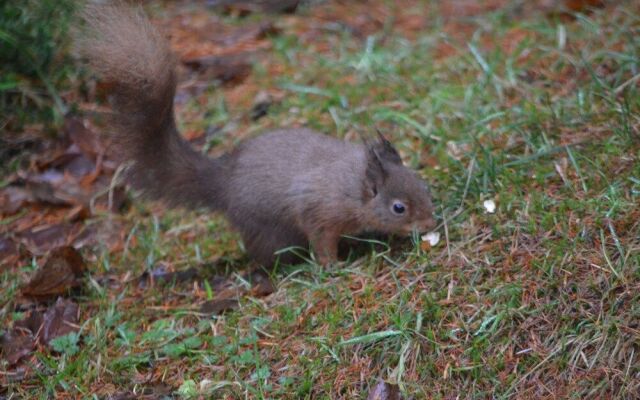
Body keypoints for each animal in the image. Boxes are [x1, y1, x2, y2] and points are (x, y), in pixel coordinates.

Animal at [74, 3, 436, 266]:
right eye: (399, 208)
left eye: (424, 185)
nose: (431, 224)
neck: (352, 185)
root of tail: (223, 181)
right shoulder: (318, 212)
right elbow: (322, 241)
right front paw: (334, 266)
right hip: (269, 232)